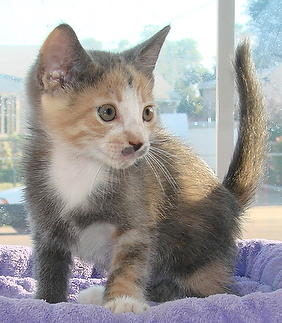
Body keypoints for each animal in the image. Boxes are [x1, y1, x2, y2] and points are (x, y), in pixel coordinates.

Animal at [23, 24, 268, 316]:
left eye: (147, 113)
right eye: (107, 112)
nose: (139, 143)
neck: (81, 164)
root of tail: (227, 196)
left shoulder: (137, 215)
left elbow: (130, 263)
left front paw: (123, 300)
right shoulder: (45, 226)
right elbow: (49, 267)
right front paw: (48, 302)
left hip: (198, 253)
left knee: (217, 290)